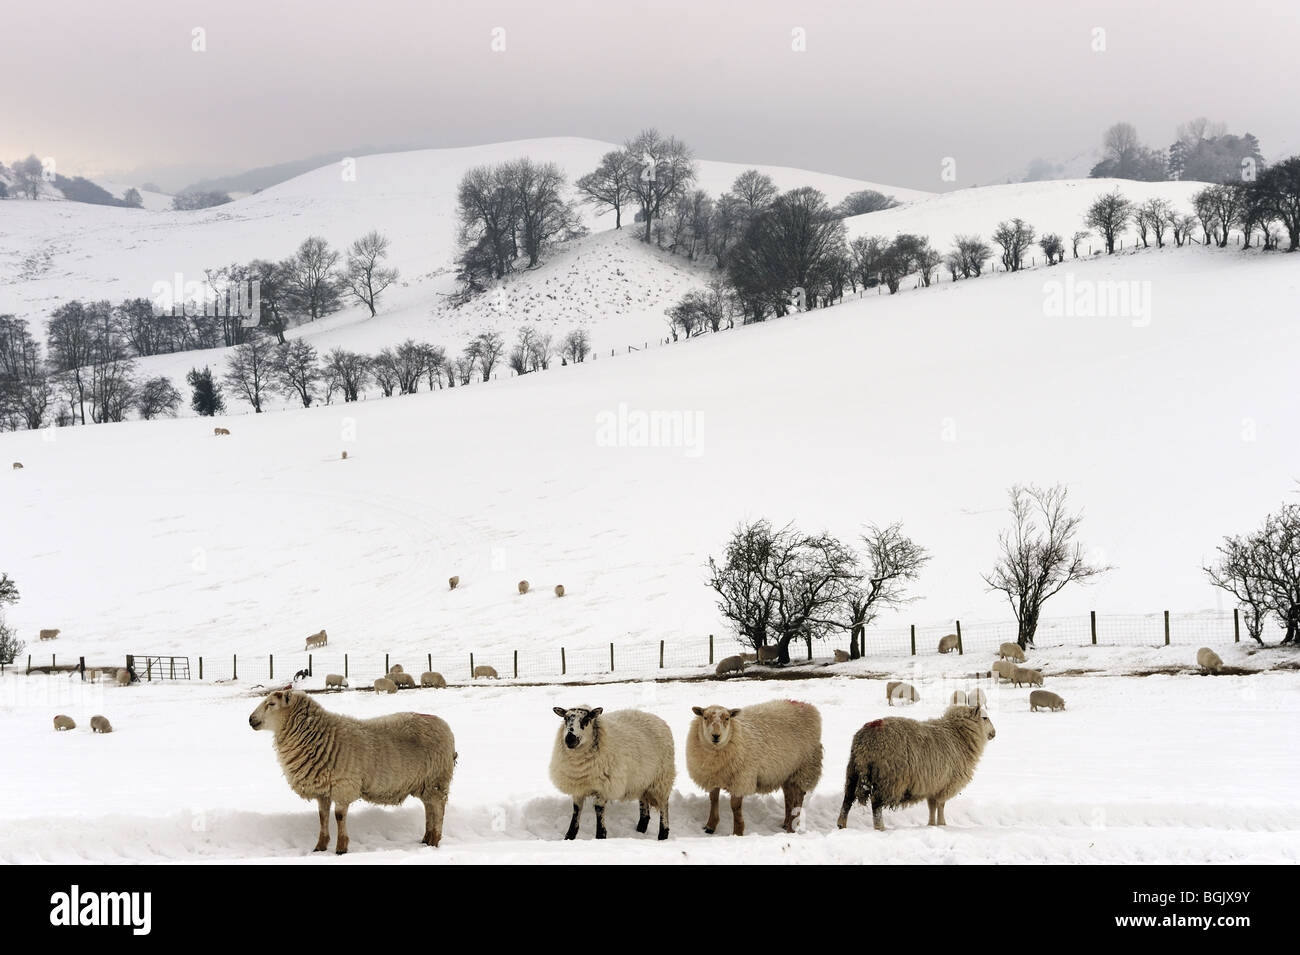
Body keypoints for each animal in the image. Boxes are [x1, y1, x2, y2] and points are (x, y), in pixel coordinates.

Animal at [248, 686, 457, 852]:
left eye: (271, 704)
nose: (250, 720)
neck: (323, 736)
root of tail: (444, 725)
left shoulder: (343, 785)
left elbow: (339, 816)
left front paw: (341, 848)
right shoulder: (323, 790)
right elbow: (323, 816)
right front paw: (320, 847)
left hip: (437, 779)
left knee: (438, 808)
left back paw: (435, 840)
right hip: (425, 783)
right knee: (429, 807)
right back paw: (426, 839)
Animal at [548, 706, 676, 841]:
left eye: (586, 719)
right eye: (565, 719)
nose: (569, 739)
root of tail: (657, 719)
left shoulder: (604, 787)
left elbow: (599, 809)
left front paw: (600, 836)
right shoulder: (579, 788)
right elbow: (576, 810)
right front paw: (569, 836)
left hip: (661, 780)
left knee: (664, 806)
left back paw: (663, 834)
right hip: (642, 782)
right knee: (644, 806)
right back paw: (640, 829)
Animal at [686, 696, 816, 836]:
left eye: (727, 718)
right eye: (705, 717)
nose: (716, 736)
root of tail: (803, 704)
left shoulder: (741, 780)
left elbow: (735, 807)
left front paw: (737, 832)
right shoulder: (714, 778)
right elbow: (713, 800)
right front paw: (710, 826)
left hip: (803, 769)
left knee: (798, 798)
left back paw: (792, 827)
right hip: (786, 771)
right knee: (789, 797)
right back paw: (786, 823)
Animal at [837, 706, 998, 831]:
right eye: (984, 717)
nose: (994, 733)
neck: (957, 736)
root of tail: (867, 737)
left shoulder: (933, 784)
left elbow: (932, 806)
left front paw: (932, 824)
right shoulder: (945, 783)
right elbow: (941, 805)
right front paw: (942, 824)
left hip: (853, 770)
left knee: (847, 798)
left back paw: (841, 824)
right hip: (888, 776)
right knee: (876, 803)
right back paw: (880, 827)